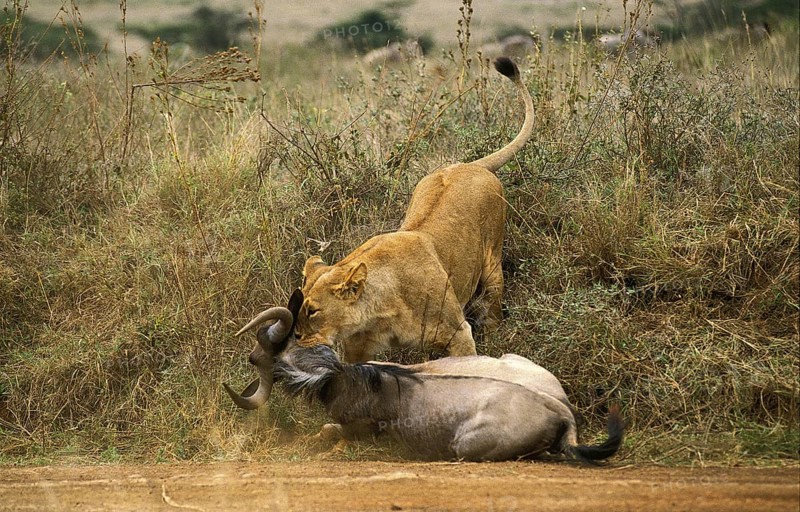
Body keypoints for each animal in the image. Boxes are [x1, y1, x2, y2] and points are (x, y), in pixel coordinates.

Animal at [296, 57, 534, 362]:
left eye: (313, 311)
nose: (295, 338)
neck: (381, 308)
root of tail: (470, 164)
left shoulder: (458, 333)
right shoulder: (357, 348)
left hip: (492, 262)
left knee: (493, 305)